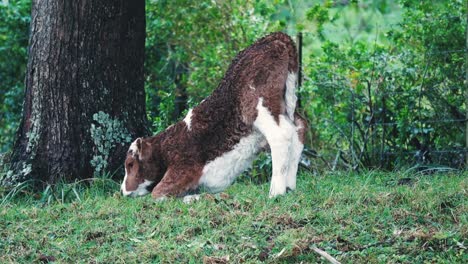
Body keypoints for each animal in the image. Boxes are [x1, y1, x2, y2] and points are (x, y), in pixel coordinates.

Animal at [120, 31, 308, 200]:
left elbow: (157, 192)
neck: (168, 146)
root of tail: (275, 37)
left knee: (281, 134)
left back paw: (276, 192)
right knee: (299, 126)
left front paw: (196, 198)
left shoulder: (185, 167)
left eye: (130, 164)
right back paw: (290, 187)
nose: (122, 191)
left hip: (258, 106)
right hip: (288, 101)